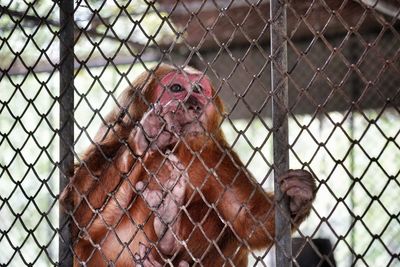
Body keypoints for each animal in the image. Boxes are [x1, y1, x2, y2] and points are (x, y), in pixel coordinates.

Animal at [60, 63, 316, 266]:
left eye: (199, 90)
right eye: (176, 88)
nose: (195, 104)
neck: (176, 148)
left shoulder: (214, 156)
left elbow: (250, 222)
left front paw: (297, 196)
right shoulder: (110, 140)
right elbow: (78, 221)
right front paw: (146, 137)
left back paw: (168, 231)